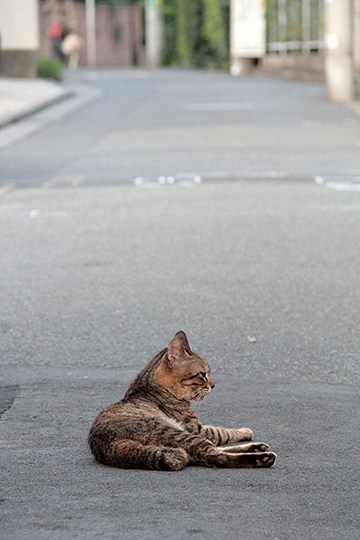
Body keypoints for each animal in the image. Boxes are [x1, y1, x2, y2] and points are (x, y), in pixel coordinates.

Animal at [88, 330, 276, 468]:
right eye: (203, 374)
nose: (213, 385)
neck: (149, 385)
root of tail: (106, 443)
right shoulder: (197, 429)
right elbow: (222, 432)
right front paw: (245, 431)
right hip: (176, 433)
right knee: (214, 455)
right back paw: (261, 458)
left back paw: (257, 448)